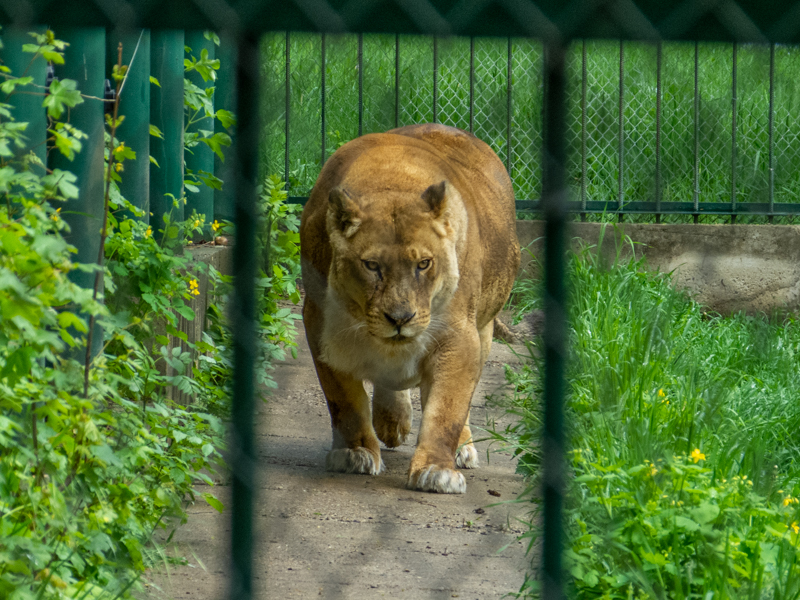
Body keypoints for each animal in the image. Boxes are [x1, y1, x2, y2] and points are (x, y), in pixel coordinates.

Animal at [300, 123, 520, 494]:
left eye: (424, 264)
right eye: (372, 265)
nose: (400, 319)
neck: (391, 178)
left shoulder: (457, 334)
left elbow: (447, 408)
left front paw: (437, 470)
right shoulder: (320, 326)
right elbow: (344, 400)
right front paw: (355, 453)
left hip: (484, 329)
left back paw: (461, 447)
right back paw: (391, 423)